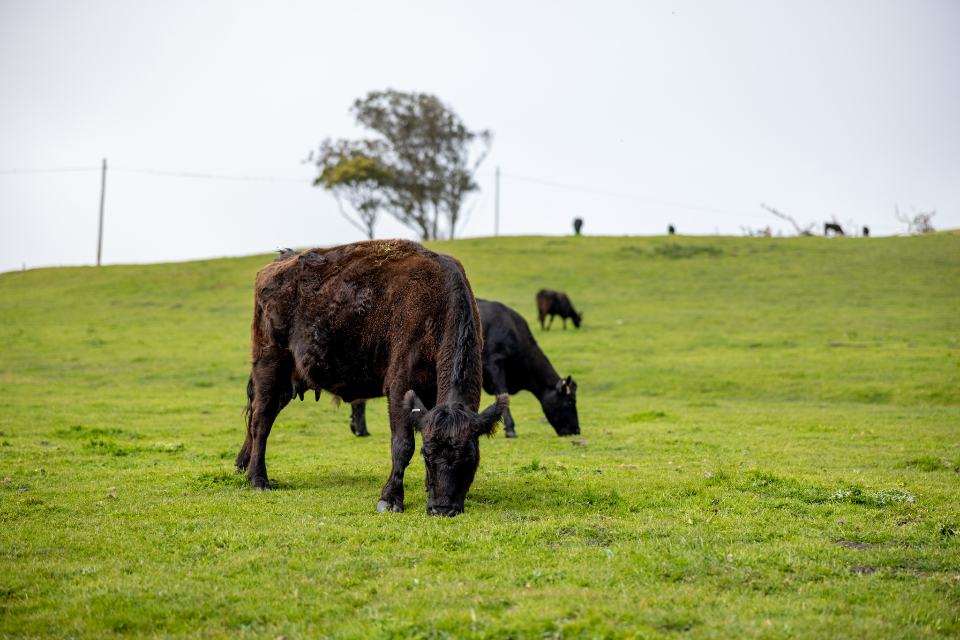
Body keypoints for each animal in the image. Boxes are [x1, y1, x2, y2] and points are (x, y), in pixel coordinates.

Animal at [235, 239, 508, 517]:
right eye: (427, 455)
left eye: (469, 457)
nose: (442, 508)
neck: (437, 307)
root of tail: (280, 262)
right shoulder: (400, 387)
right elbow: (402, 445)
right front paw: (391, 497)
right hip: (269, 361)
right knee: (261, 419)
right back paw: (258, 479)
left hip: (287, 379)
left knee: (261, 415)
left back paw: (243, 464)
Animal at [349, 300, 580, 439]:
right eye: (570, 402)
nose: (576, 430)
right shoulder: (495, 365)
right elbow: (503, 394)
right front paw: (511, 429)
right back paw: (362, 430)